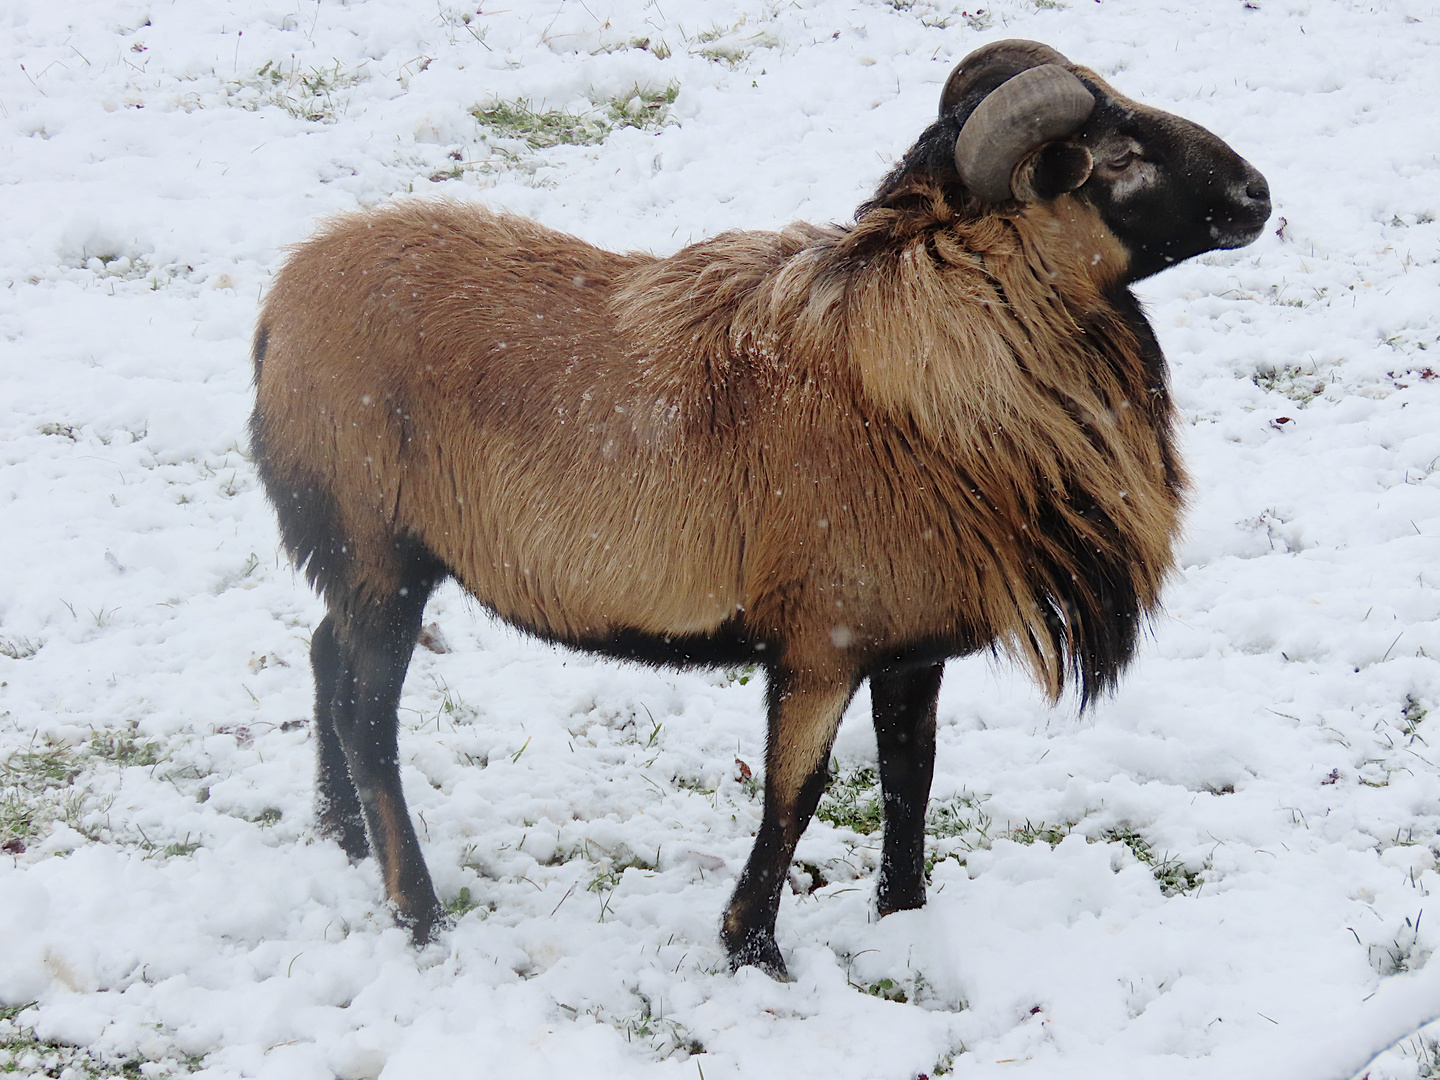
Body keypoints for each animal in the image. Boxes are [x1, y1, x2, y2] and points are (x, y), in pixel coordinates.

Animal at [253, 40, 1267, 979]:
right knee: (366, 718)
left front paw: (903, 920)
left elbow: (912, 774)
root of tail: (282, 300)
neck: (923, 365)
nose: (1257, 193)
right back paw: (419, 912)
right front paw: (753, 949)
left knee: (323, 656)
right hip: (379, 554)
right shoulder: (821, 643)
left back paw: (342, 833)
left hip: (359, 564)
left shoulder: (910, 644)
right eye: (1117, 156)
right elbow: (796, 793)